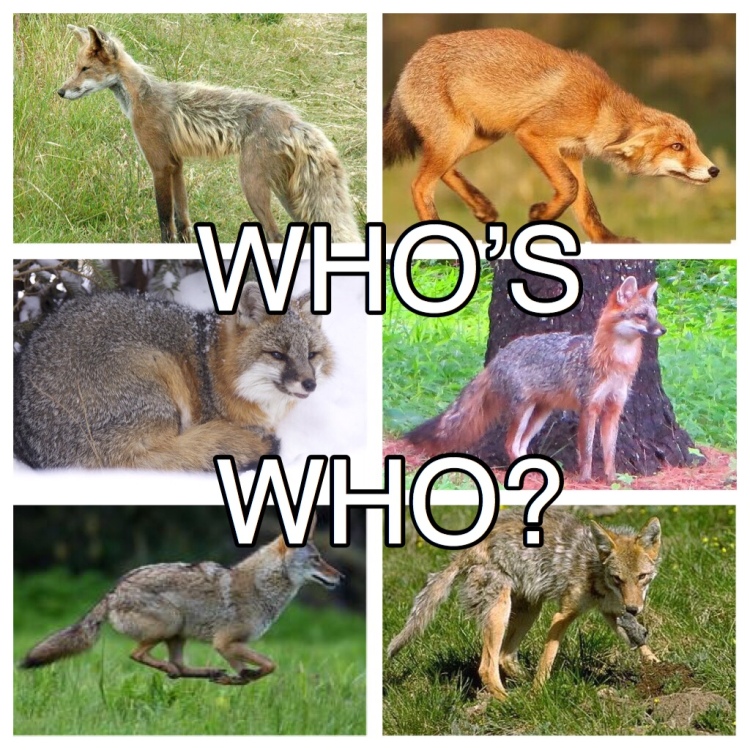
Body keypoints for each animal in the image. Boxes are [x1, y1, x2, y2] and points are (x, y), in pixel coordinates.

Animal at [20, 521, 343, 684]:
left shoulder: (228, 647)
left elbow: (252, 670)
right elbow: (269, 664)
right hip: (171, 624)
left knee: (176, 664)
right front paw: (242, 677)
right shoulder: (224, 643)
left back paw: (203, 673)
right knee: (137, 655)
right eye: (317, 559)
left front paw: (236, 679)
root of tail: (113, 591)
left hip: (178, 633)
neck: (261, 588)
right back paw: (177, 670)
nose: (341, 577)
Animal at [58, 25, 361, 244]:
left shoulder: (159, 165)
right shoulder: (177, 164)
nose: (60, 92)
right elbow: (182, 218)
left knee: (275, 235)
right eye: (75, 68)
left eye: (85, 69)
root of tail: (295, 120)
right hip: (287, 195)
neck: (142, 98)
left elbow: (164, 219)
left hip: (253, 186)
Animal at [383, 28, 719, 243]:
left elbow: (586, 207)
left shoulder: (571, 154)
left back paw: (482, 206)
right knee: (420, 185)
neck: (597, 109)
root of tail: (417, 55)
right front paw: (540, 216)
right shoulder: (533, 135)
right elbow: (570, 189)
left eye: (693, 144)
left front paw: (607, 241)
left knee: (443, 171)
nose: (714, 170)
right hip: (457, 137)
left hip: (479, 137)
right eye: (677, 146)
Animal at [388, 508, 661, 701]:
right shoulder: (563, 615)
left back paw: (522, 684)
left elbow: (644, 648)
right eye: (618, 578)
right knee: (487, 667)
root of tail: (464, 552)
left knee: (504, 657)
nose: (634, 609)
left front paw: (663, 670)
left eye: (641, 577)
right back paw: (514, 702)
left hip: (529, 609)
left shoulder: (611, 612)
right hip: (501, 612)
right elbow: (547, 660)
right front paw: (538, 694)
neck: (595, 570)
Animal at [406, 276, 665, 482]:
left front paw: (612, 479)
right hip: (523, 410)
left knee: (521, 445)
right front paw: (586, 479)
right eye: (642, 316)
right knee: (511, 444)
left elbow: (609, 451)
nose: (662, 330)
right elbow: (587, 451)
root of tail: (499, 356)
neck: (616, 363)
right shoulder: (589, 407)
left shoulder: (613, 408)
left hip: (541, 414)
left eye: (655, 316)